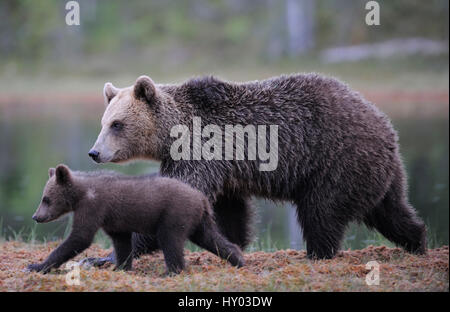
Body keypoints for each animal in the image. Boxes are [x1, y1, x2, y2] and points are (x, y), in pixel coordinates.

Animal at [26, 165, 244, 274]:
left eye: (46, 198)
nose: (36, 216)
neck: (81, 194)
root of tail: (202, 198)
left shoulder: (94, 208)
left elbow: (80, 238)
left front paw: (37, 266)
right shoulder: (114, 222)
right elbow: (121, 242)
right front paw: (121, 267)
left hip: (174, 214)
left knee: (170, 240)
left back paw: (173, 270)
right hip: (198, 220)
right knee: (211, 238)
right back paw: (238, 259)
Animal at [87, 73, 426, 260]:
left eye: (117, 124)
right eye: (103, 122)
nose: (94, 152)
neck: (173, 134)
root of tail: (382, 122)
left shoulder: (202, 150)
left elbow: (177, 199)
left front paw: (104, 257)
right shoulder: (223, 168)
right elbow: (231, 210)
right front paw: (233, 243)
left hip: (337, 161)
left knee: (321, 211)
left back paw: (317, 253)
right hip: (378, 171)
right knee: (391, 210)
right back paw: (417, 241)